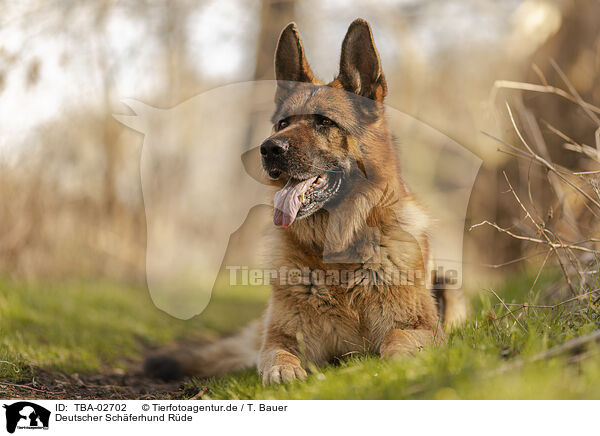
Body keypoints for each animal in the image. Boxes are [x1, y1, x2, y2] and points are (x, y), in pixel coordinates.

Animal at [145, 18, 464, 384]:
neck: (340, 256)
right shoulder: (281, 337)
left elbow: (396, 339)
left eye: (324, 122)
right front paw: (283, 372)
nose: (268, 148)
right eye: (282, 123)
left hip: (449, 286)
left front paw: (400, 365)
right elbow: (277, 353)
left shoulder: (422, 327)